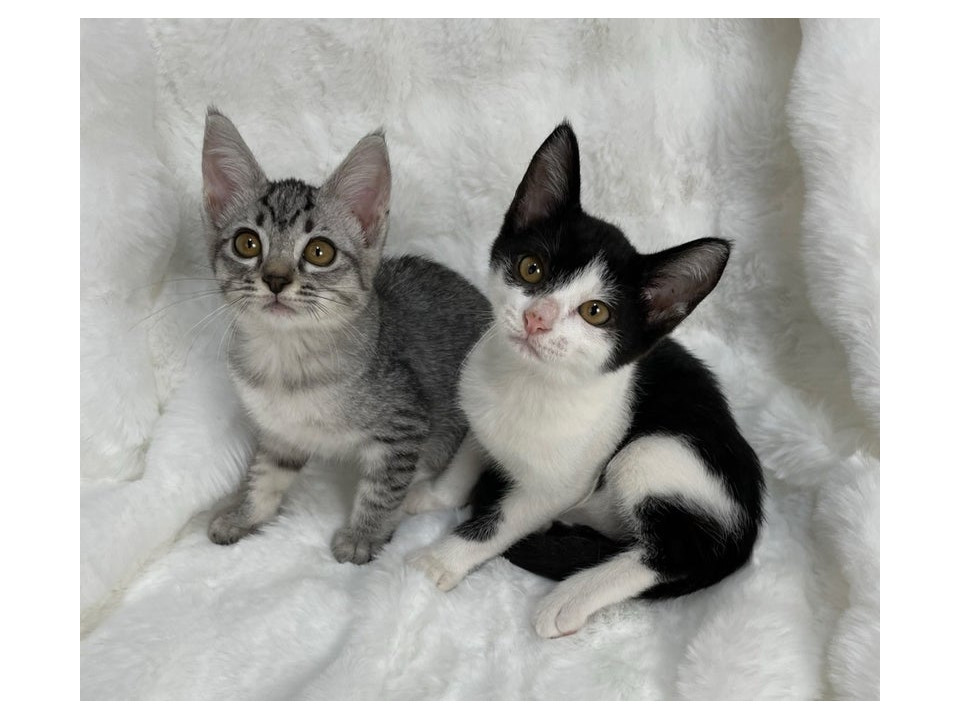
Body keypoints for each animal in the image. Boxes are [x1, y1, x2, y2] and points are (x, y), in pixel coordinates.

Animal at [201, 109, 490, 563]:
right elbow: (266, 475)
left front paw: (364, 537)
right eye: (247, 244)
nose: (276, 279)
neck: (289, 364)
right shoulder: (280, 432)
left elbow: (382, 490)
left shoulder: (404, 424)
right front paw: (246, 516)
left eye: (319, 252)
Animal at [406, 123, 764, 638]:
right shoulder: (481, 413)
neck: (529, 383)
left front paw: (439, 561)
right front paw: (436, 495)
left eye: (596, 312)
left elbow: (498, 524)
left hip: (654, 453)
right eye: (531, 267)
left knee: (678, 552)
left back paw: (570, 596)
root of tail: (751, 520)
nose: (537, 318)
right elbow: (469, 456)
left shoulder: (555, 486)